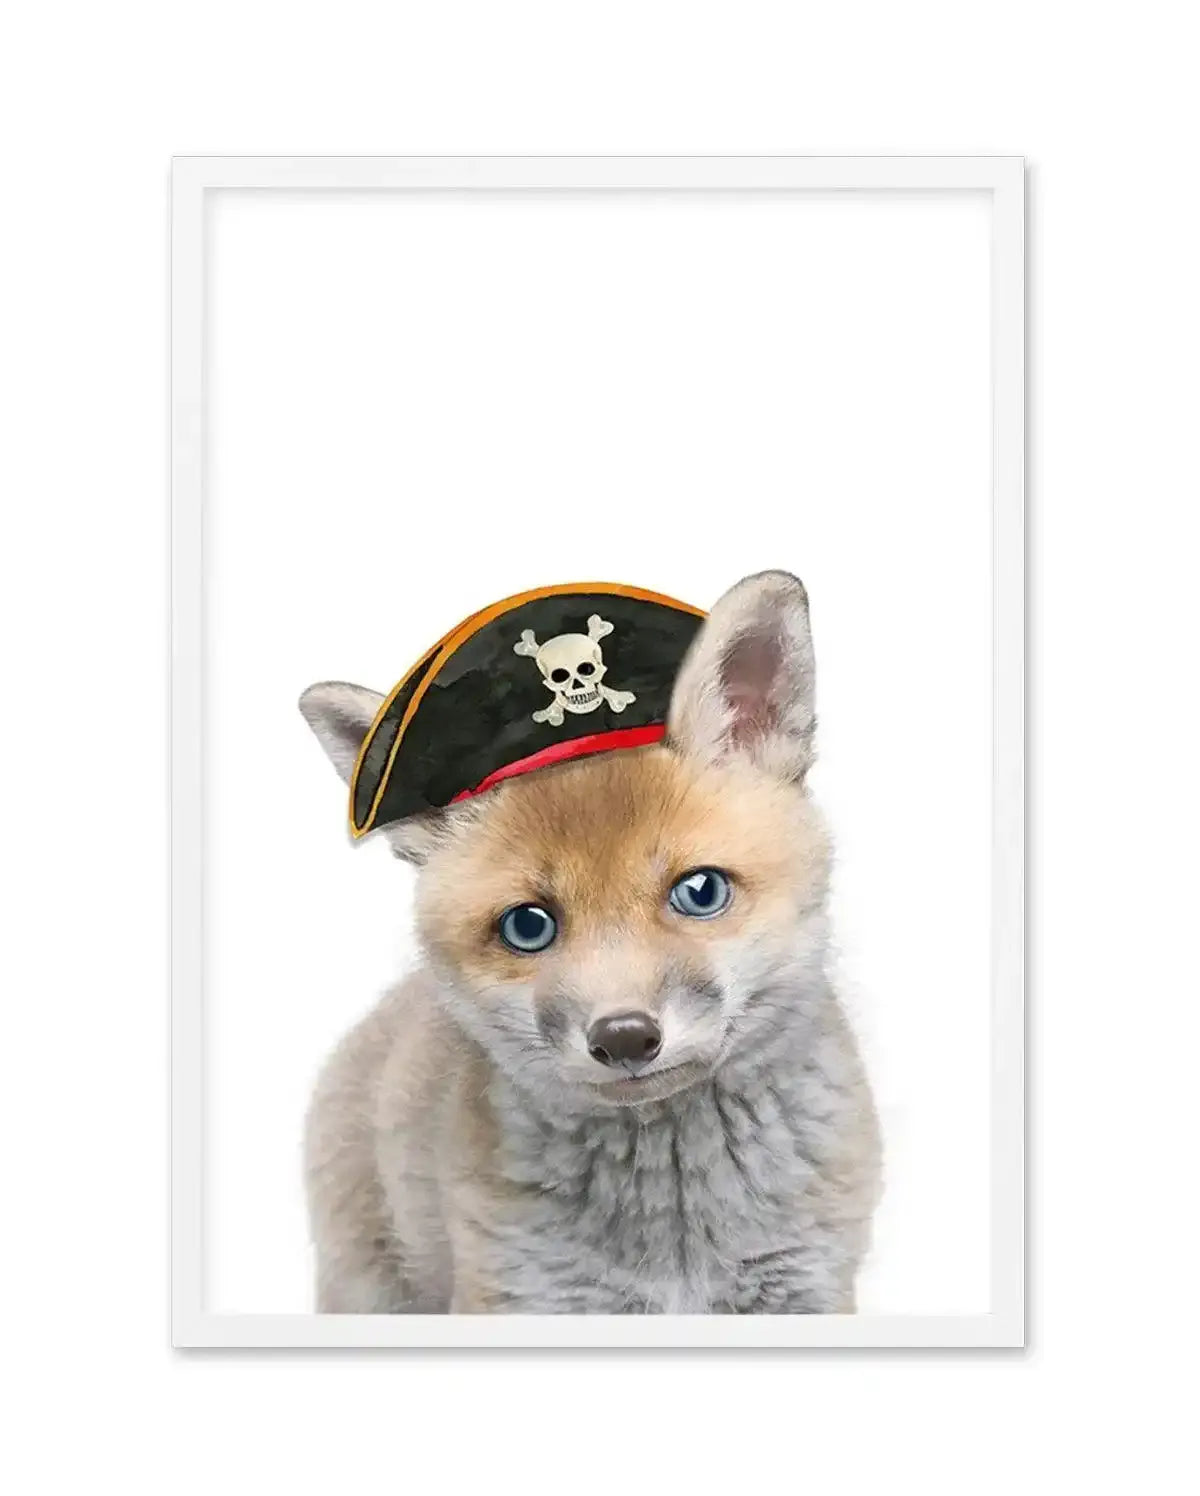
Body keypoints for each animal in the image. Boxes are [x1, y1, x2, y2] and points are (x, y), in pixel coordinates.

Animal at [299, 570, 881, 1313]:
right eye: (528, 926)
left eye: (700, 892)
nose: (625, 1038)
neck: (677, 1238)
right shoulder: (524, 1293)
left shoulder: (805, 1285)